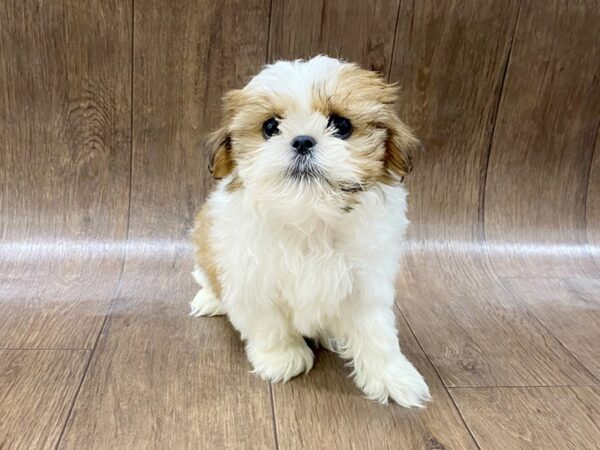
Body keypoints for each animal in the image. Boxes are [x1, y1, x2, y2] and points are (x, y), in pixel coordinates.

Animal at [190, 56, 428, 408]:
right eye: (270, 127)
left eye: (341, 125)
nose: (302, 140)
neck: (309, 214)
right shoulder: (251, 277)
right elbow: (268, 322)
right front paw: (282, 357)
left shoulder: (366, 281)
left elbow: (375, 331)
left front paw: (392, 376)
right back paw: (209, 299)